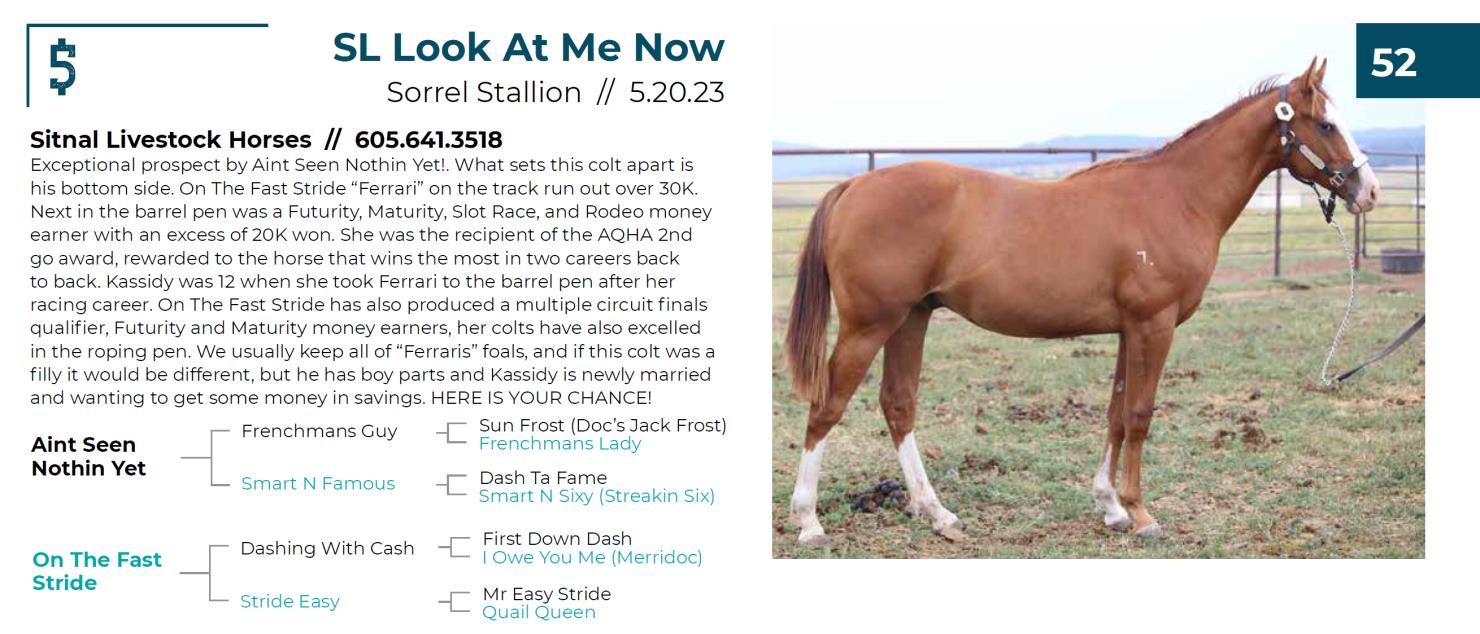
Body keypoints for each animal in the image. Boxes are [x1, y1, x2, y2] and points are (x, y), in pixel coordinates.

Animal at [783, 58, 1380, 545]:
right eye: (1325, 124)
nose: (1369, 191)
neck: (1177, 196)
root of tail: (852, 188)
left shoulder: (1128, 329)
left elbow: (1116, 413)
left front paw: (1110, 506)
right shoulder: (1154, 325)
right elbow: (1139, 413)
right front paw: (1140, 514)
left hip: (911, 318)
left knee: (898, 405)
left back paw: (938, 514)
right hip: (869, 325)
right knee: (827, 406)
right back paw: (809, 521)